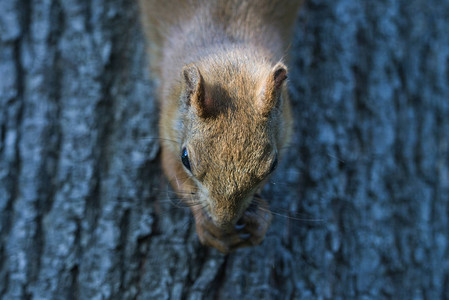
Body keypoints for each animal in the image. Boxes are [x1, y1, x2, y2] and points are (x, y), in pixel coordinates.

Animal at [138, 0, 302, 253]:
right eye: (186, 158)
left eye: (273, 165)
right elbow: (172, 171)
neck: (228, 57)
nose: (224, 222)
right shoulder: (168, 123)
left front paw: (261, 218)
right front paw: (206, 224)